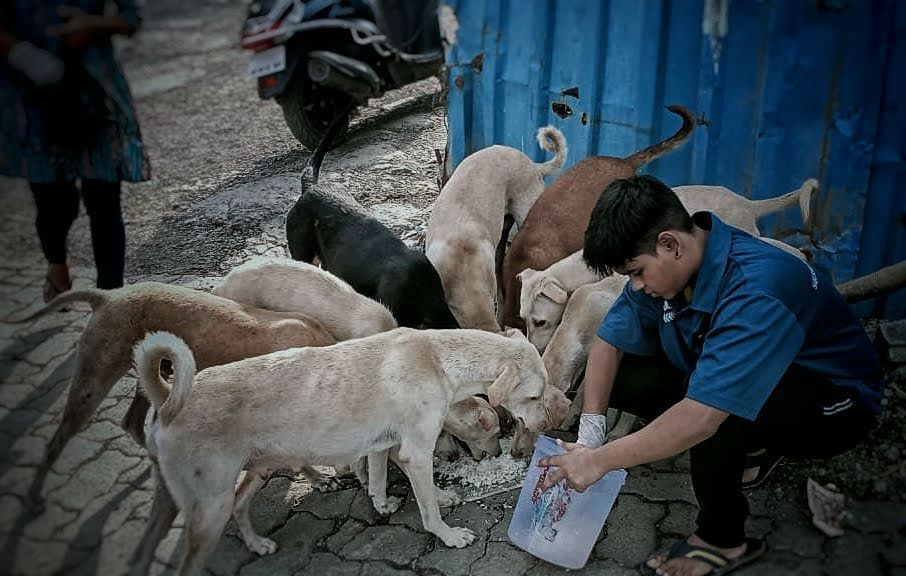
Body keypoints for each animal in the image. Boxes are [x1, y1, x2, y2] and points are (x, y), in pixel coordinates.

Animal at [9, 282, 336, 510]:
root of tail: (108, 296)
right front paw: (316, 476)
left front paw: (317, 476)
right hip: (93, 382)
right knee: (56, 441)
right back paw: (34, 496)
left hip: (151, 369)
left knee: (131, 421)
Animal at [136, 326, 564, 572]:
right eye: (535, 395)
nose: (548, 421)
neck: (437, 357)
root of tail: (167, 401)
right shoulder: (414, 451)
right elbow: (427, 507)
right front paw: (448, 534)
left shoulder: (383, 444)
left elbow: (378, 478)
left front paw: (385, 504)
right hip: (209, 506)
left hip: (248, 476)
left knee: (239, 507)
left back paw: (257, 544)